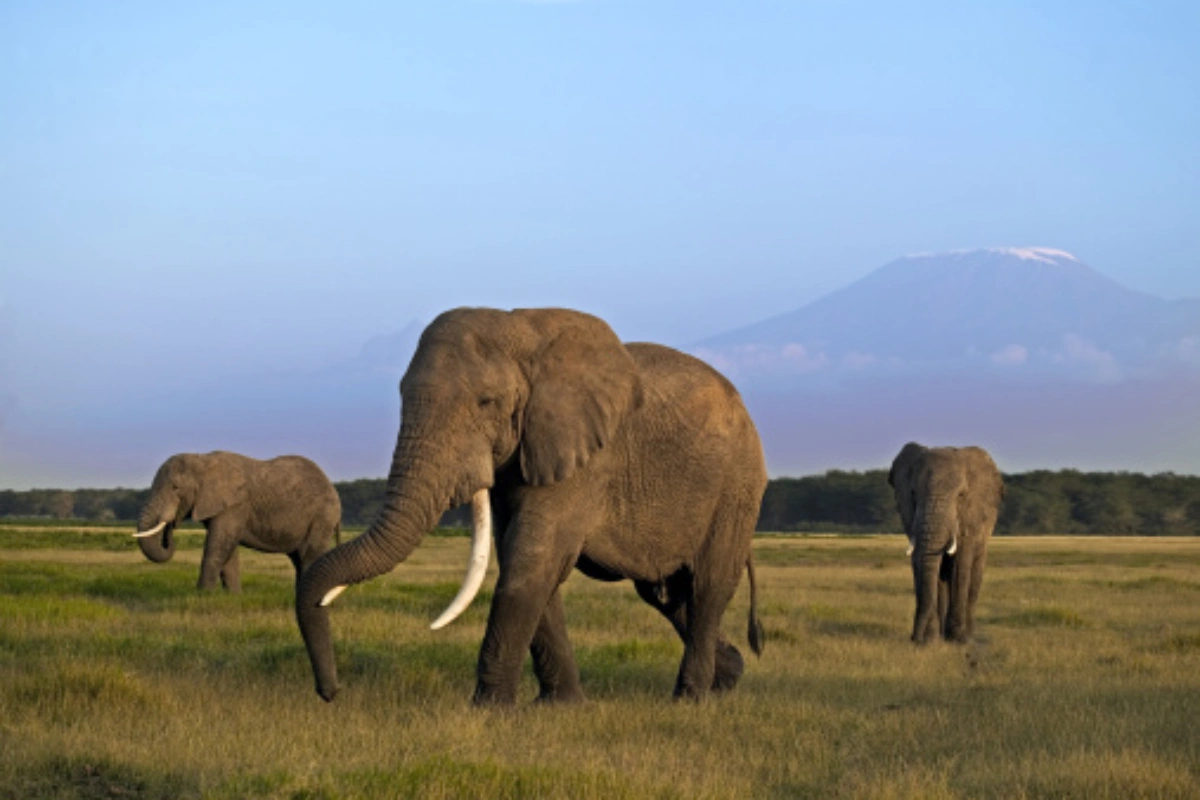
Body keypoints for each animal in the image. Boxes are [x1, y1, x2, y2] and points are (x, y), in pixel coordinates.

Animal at [134, 451, 342, 592]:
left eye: (175, 487)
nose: (171, 525)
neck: (203, 459)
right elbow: (227, 548)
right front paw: (233, 596)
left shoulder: (235, 506)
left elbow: (218, 545)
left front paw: (202, 594)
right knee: (299, 557)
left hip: (322, 517)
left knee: (309, 554)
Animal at [296, 307, 767, 706]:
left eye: (486, 402)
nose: (331, 694)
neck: (522, 328)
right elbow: (522, 560)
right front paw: (561, 707)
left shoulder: (586, 458)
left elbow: (533, 557)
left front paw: (489, 710)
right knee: (667, 594)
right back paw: (728, 678)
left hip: (737, 487)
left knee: (707, 588)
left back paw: (690, 699)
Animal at [888, 442, 1004, 644]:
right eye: (913, 494)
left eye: (961, 495)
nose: (914, 638)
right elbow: (920, 563)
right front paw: (930, 641)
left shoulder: (970, 519)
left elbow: (961, 565)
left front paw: (958, 639)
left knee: (974, 578)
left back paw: (968, 634)